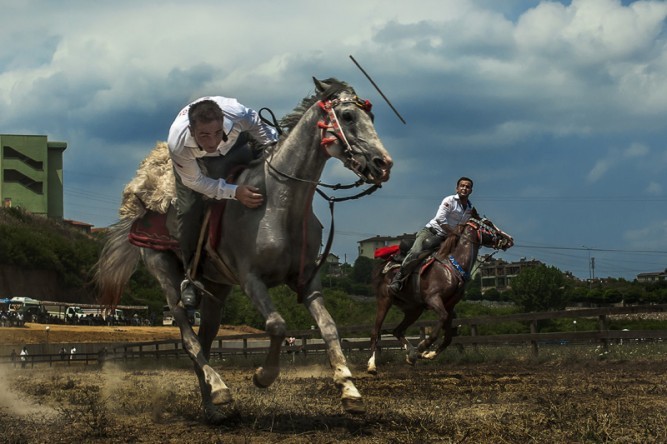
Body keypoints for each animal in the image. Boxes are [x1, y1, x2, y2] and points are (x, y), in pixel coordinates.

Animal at [96, 77, 394, 424]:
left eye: (370, 117)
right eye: (347, 116)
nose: (383, 164)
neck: (278, 204)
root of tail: (140, 211)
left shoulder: (308, 279)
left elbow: (329, 328)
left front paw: (349, 391)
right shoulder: (251, 279)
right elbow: (277, 325)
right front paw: (264, 376)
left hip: (216, 290)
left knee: (205, 340)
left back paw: (213, 406)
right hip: (165, 272)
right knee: (188, 338)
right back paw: (220, 388)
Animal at [368, 212, 516, 374]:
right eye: (488, 223)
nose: (509, 239)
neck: (452, 265)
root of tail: (385, 265)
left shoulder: (450, 305)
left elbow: (449, 337)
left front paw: (428, 354)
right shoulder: (434, 299)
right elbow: (439, 325)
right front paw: (423, 347)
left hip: (413, 310)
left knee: (398, 331)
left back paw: (411, 356)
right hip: (385, 301)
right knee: (375, 332)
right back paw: (372, 365)